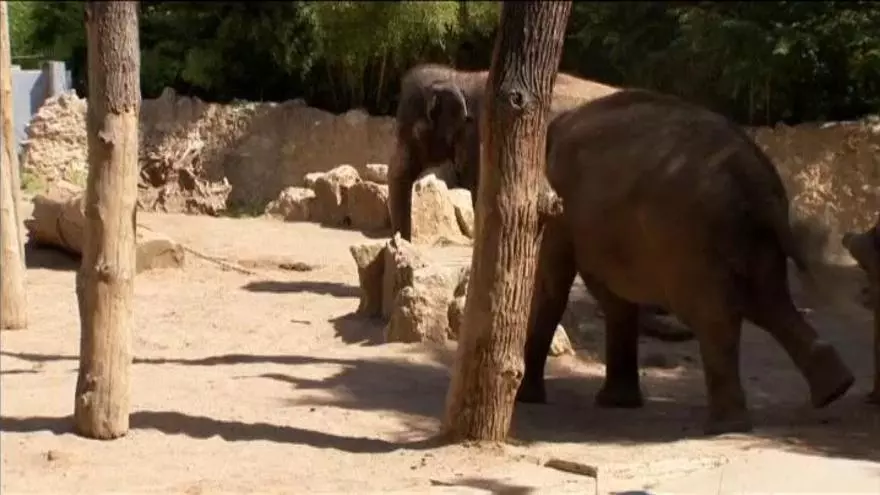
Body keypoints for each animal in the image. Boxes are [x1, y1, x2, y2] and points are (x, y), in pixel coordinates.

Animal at [517, 88, 856, 435]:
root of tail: (760, 183)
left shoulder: (560, 205)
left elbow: (552, 283)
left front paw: (528, 399)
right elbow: (613, 298)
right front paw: (617, 403)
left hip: (693, 238)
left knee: (716, 315)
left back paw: (726, 426)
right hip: (749, 237)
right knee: (771, 303)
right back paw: (834, 390)